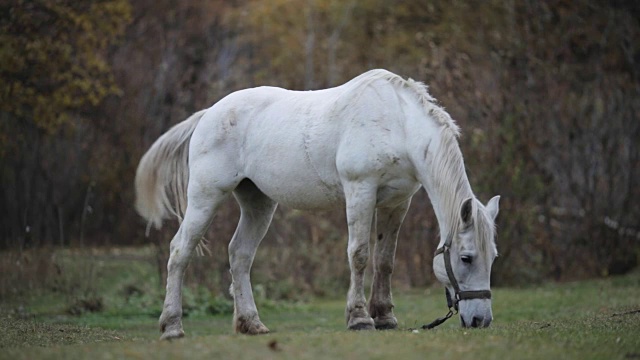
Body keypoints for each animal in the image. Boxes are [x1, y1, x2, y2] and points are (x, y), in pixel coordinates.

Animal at [136, 68, 500, 340]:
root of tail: (208, 115)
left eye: (492, 257)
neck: (396, 122)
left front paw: (384, 317)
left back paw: (251, 324)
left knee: (239, 255)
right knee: (180, 251)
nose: (481, 321)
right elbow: (360, 255)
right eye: (466, 258)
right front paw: (360, 318)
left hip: (258, 203)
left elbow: (385, 261)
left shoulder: (397, 203)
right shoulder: (360, 191)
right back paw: (172, 327)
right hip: (206, 196)